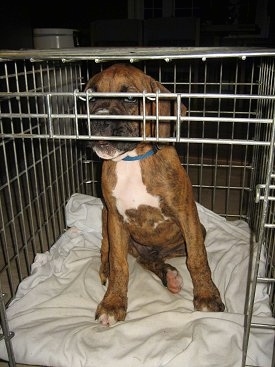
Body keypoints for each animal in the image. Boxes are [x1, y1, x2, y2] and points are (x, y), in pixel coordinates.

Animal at [84, 64, 226, 328]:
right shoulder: (115, 219)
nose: (98, 120)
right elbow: (119, 264)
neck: (132, 160)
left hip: (195, 232)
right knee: (113, 252)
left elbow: (197, 258)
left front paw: (207, 296)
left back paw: (169, 275)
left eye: (130, 98)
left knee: (161, 258)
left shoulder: (186, 214)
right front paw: (113, 303)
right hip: (106, 218)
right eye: (91, 98)